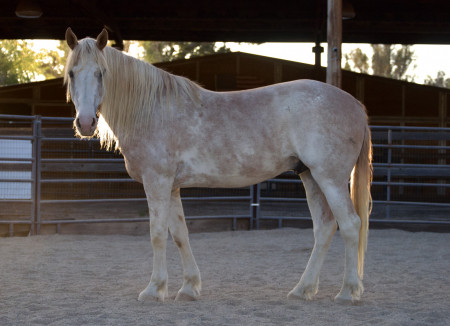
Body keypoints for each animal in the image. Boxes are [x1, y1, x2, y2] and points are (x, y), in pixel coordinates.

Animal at [64, 27, 372, 304]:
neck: (152, 110)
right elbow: (180, 235)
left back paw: (347, 292)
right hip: (310, 176)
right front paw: (188, 288)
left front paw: (154, 290)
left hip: (330, 179)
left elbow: (157, 235)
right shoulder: (171, 187)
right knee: (324, 227)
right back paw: (302, 289)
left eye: (101, 72)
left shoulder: (157, 183)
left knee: (350, 224)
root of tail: (354, 104)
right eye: (71, 74)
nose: (86, 123)